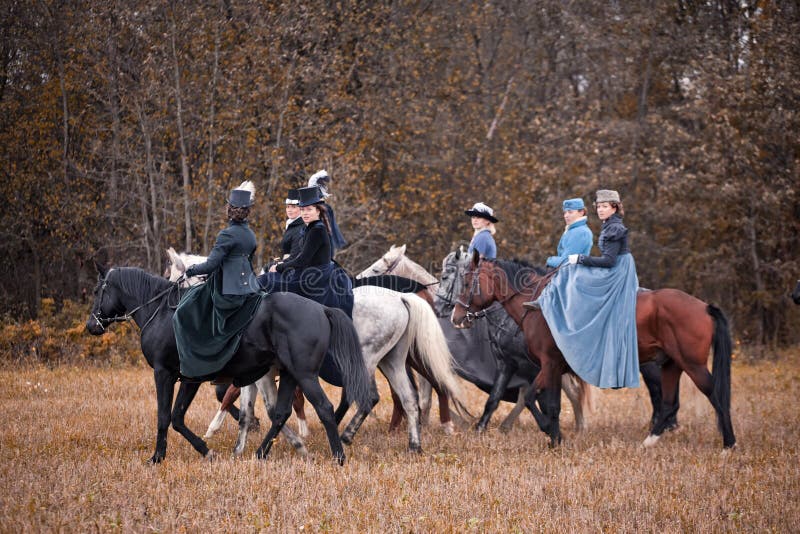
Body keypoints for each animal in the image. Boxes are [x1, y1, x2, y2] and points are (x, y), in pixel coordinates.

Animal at [87, 266, 376, 466]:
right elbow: (178, 417)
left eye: (98, 291)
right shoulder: (189, 379)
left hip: (305, 375)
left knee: (324, 409)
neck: (161, 313)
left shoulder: (164, 374)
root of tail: (321, 309)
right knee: (281, 414)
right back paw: (261, 453)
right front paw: (207, 451)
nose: (92, 326)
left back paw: (338, 456)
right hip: (290, 373)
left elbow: (165, 417)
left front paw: (157, 457)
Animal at [166, 249, 472, 454]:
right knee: (408, 398)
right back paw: (413, 444)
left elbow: (254, 402)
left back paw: (345, 435)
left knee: (370, 397)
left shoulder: (262, 372)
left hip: (367, 361)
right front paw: (239, 441)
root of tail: (401, 297)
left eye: (173, 278)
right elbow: (244, 403)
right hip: (391, 361)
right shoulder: (256, 372)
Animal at [454, 255, 736, 452]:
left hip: (692, 365)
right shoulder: (551, 367)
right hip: (671, 365)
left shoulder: (548, 364)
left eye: (467, 282)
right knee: (669, 404)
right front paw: (555, 438)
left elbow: (535, 398)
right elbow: (547, 402)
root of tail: (703, 306)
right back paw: (647, 443)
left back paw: (728, 444)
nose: (456, 318)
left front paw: (551, 434)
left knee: (716, 396)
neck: (535, 305)